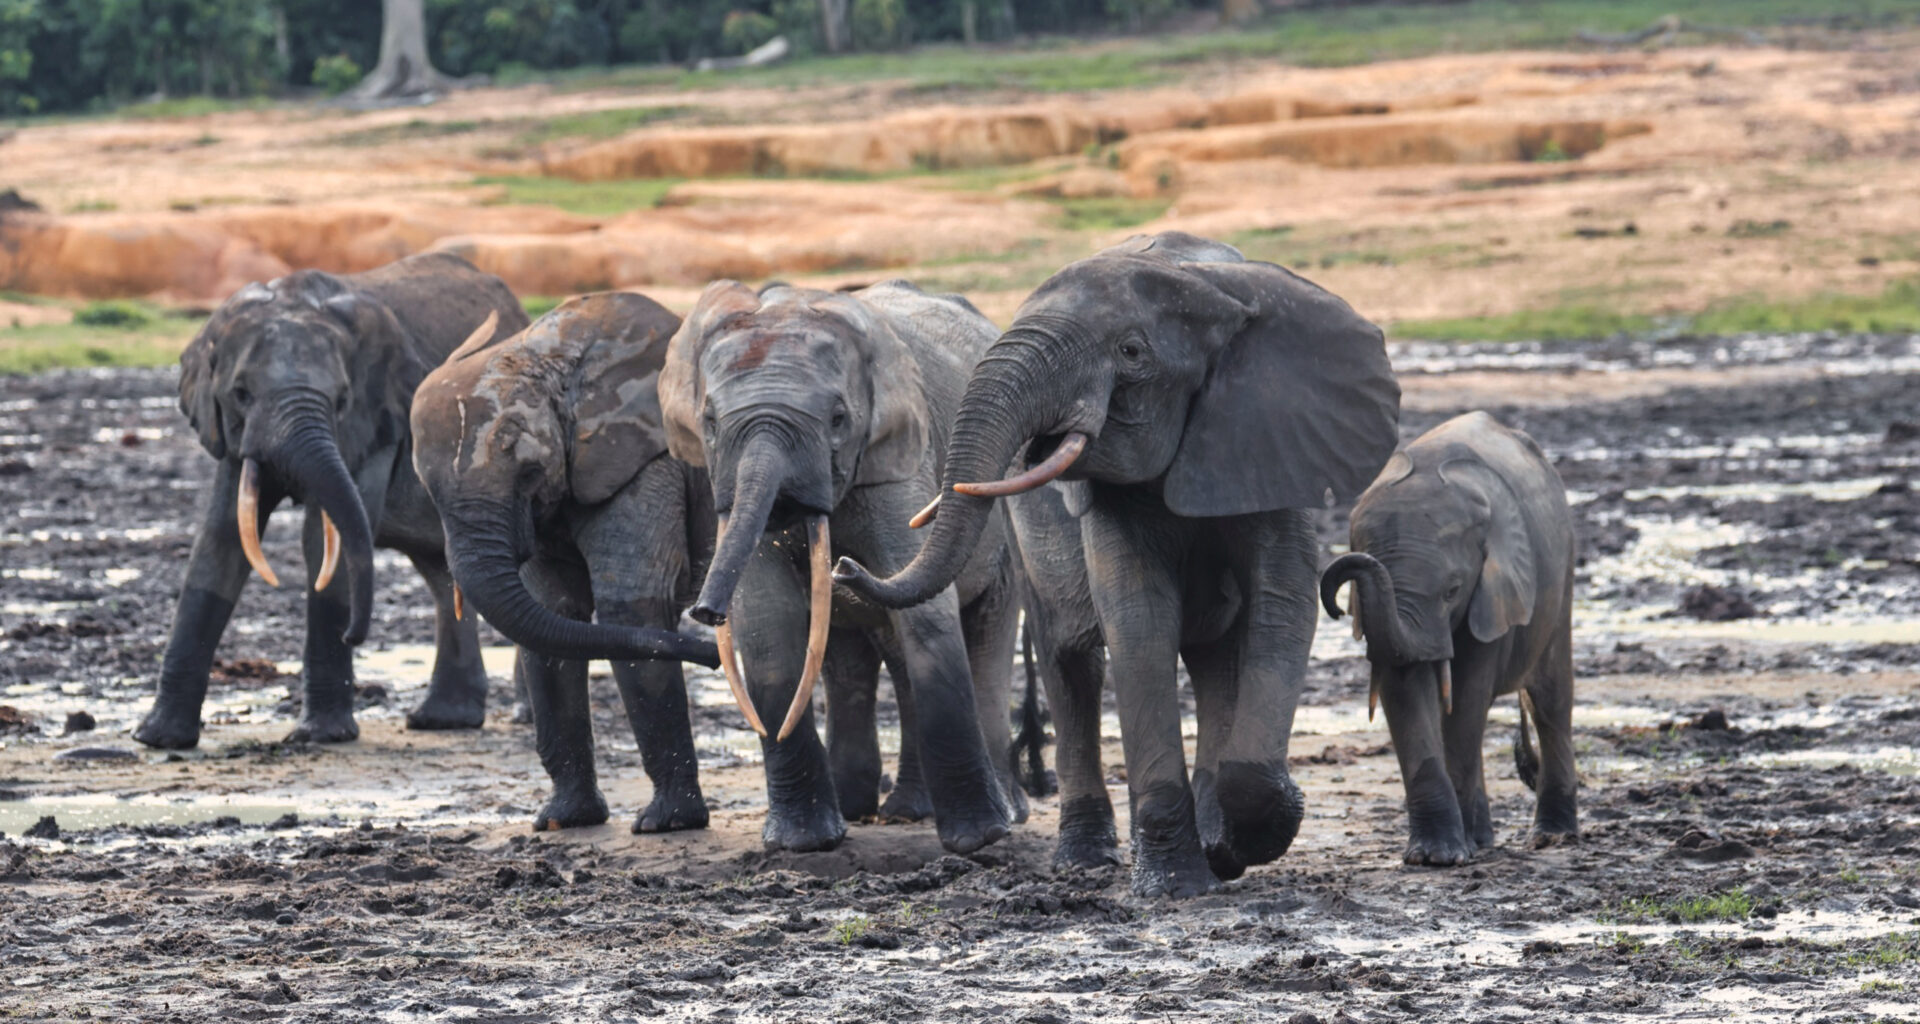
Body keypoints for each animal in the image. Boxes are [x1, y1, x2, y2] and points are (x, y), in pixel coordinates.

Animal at [135, 252, 532, 750]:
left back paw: (520, 716)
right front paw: (158, 739)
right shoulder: (231, 436)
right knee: (443, 574)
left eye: (342, 399)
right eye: (240, 394)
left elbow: (323, 541)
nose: (353, 636)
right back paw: (443, 720)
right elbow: (220, 542)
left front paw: (322, 736)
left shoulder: (378, 424)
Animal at [409, 292, 726, 834]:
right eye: (428, 492)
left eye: (530, 472)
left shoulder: (646, 465)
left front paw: (666, 824)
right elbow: (552, 613)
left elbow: (629, 609)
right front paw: (563, 821)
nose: (713, 655)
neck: (550, 357)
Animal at [659, 278, 1025, 855]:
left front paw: (978, 840)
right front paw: (802, 844)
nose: (703, 612)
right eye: (711, 422)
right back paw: (871, 810)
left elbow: (927, 613)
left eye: (837, 419)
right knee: (852, 654)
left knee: (986, 635)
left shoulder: (901, 460)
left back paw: (999, 813)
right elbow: (769, 620)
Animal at [835, 231, 1401, 897]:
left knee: (1212, 661)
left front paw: (1243, 839)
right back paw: (1086, 860)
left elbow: (1283, 602)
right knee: (1071, 663)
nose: (842, 567)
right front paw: (1177, 885)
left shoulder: (1273, 440)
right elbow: (1138, 617)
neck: (1206, 283)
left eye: (1131, 352)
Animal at [1319, 410, 1579, 866]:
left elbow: (1468, 694)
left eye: (1452, 590)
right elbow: (1407, 690)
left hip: (1561, 569)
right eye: (1358, 600)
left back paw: (1552, 836)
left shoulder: (1494, 590)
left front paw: (1451, 855)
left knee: (1550, 700)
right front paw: (1435, 855)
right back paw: (1483, 838)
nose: (1333, 601)